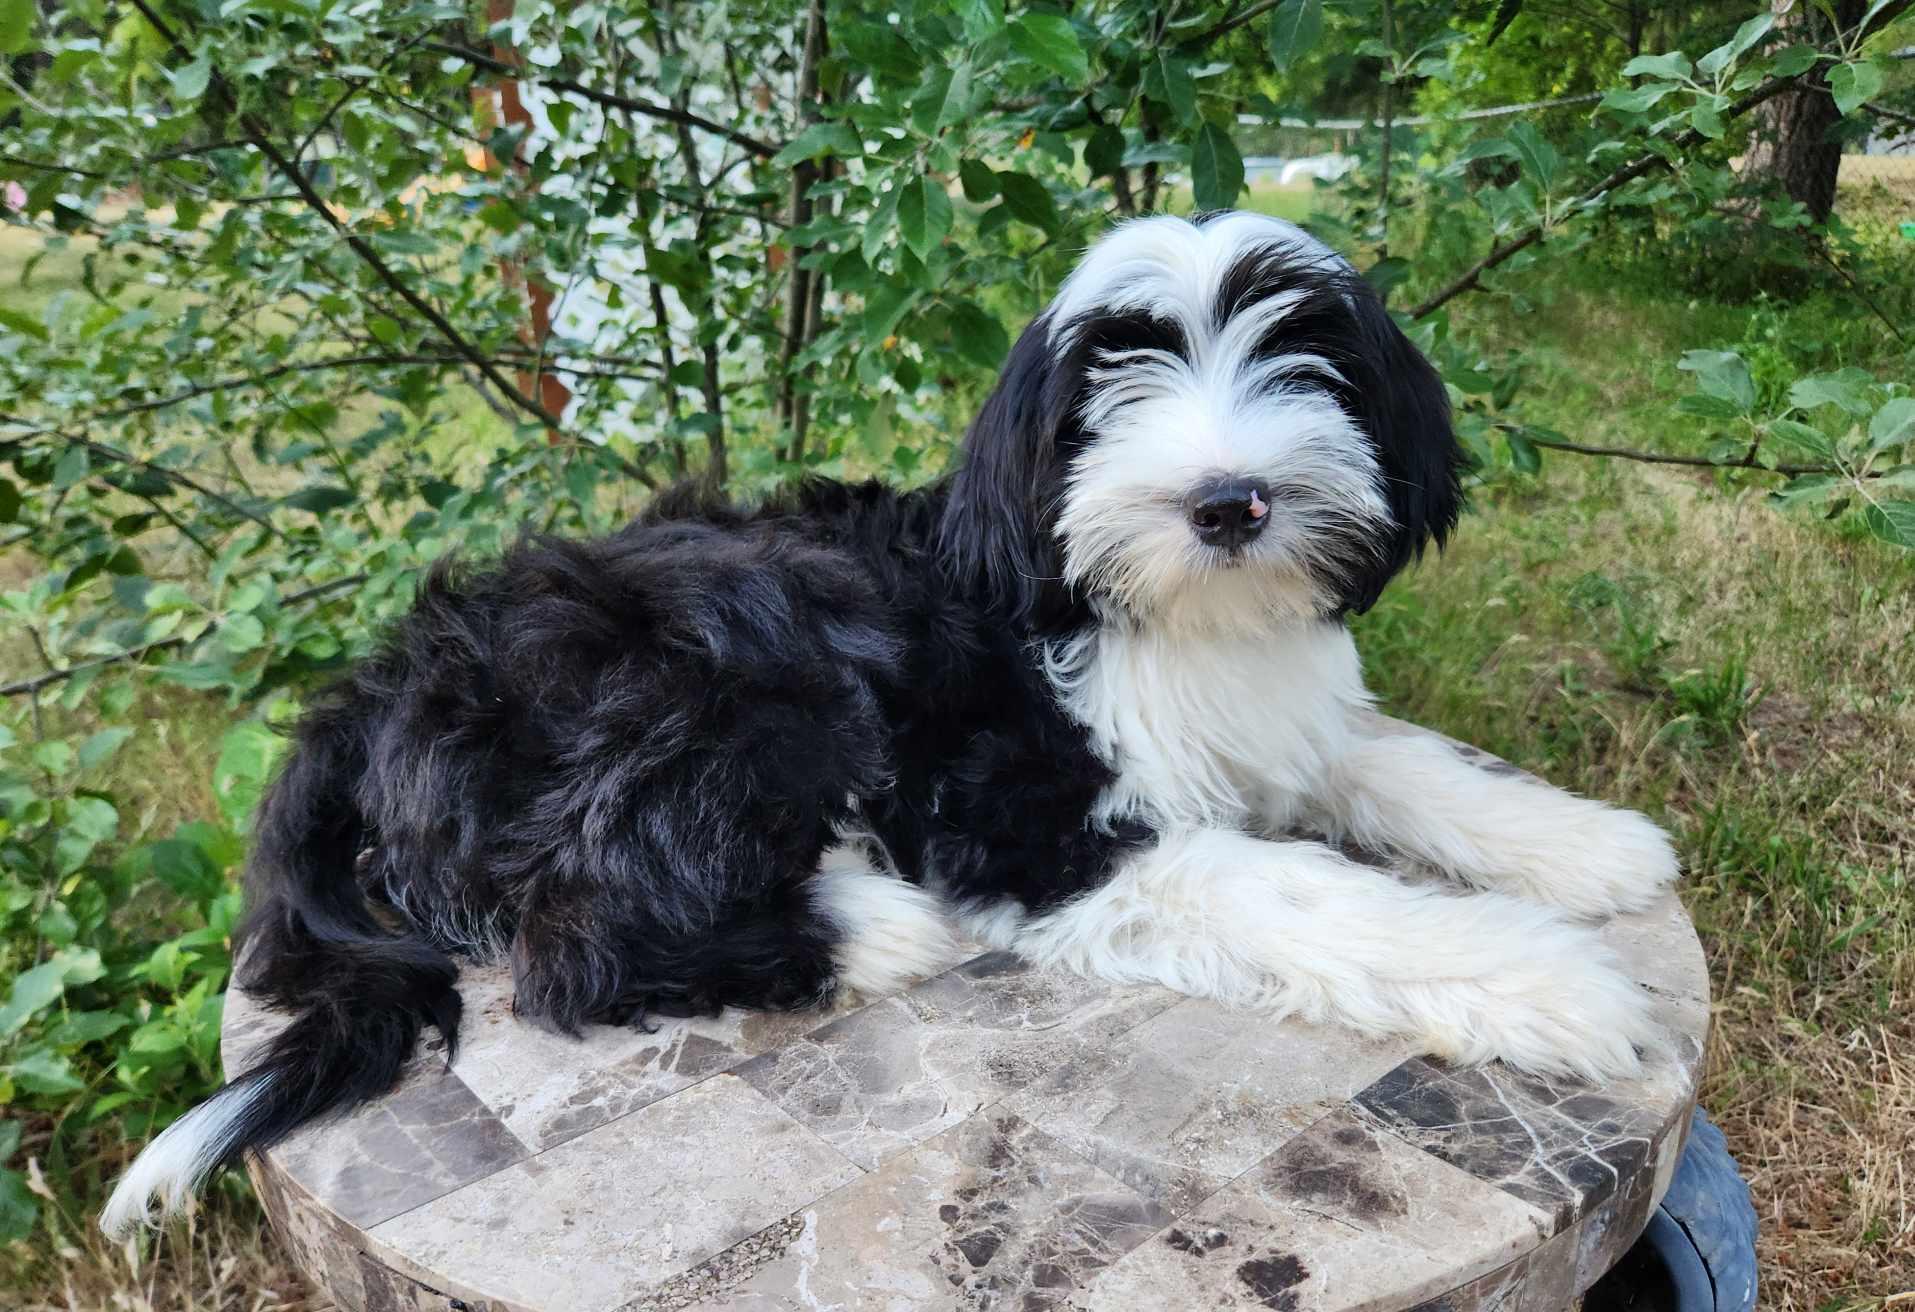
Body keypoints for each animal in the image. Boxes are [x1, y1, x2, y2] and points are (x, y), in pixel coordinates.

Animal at [102, 212, 1676, 1237]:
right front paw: (1550, 983)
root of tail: (375, 685)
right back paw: (866, 923)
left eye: (1309, 359)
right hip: (729, 684)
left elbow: (1390, 760)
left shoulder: (1284, 720)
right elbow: (1304, 894)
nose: (1227, 499)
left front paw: (1583, 849)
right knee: (573, 947)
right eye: (1111, 383)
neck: (1151, 609)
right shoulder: (1029, 817)